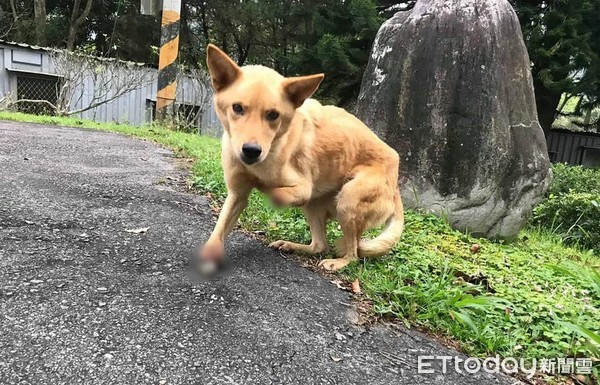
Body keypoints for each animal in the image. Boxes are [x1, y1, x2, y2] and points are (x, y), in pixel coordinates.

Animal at [200, 44, 404, 270]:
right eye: (237, 107)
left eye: (273, 115)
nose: (251, 150)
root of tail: (395, 180)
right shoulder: (237, 195)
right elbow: (220, 226)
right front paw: (211, 251)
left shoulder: (304, 187)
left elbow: (282, 192)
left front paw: (276, 196)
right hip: (315, 206)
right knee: (320, 245)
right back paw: (291, 245)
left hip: (347, 200)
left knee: (354, 254)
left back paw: (338, 262)